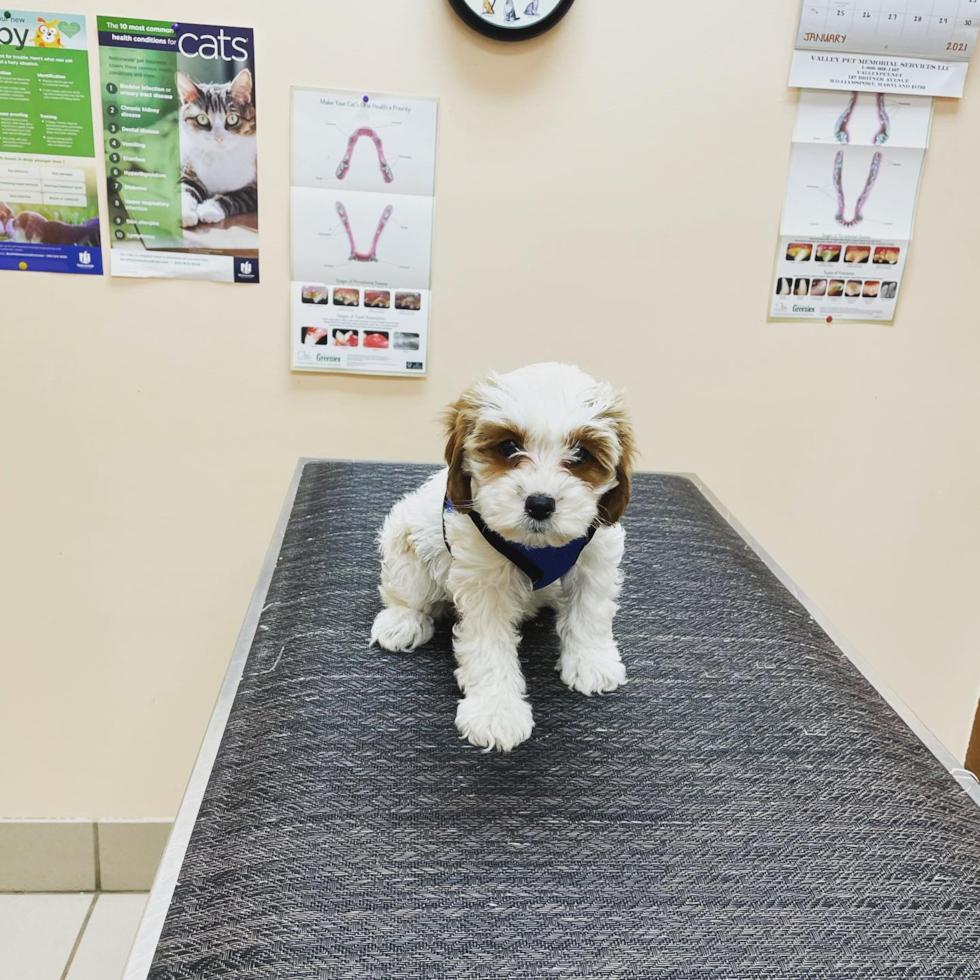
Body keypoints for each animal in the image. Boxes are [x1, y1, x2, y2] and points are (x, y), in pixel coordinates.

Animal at [370, 364, 636, 756]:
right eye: (509, 446)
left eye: (580, 454)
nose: (540, 503)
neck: (537, 548)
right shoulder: (484, 579)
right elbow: (489, 644)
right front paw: (496, 711)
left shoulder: (595, 553)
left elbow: (590, 611)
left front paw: (592, 661)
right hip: (406, 543)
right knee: (405, 592)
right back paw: (402, 621)